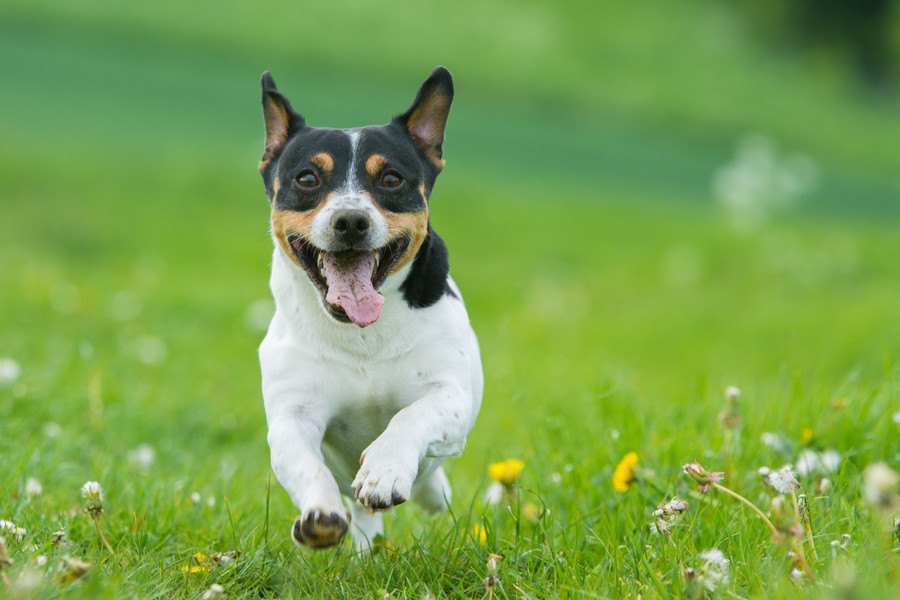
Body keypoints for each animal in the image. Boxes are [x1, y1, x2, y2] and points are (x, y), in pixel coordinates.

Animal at [256, 68, 482, 552]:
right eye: (307, 179)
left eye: (391, 179)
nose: (351, 221)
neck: (362, 334)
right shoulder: (292, 418)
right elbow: (307, 464)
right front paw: (320, 514)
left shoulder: (449, 394)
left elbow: (409, 417)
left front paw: (384, 471)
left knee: (429, 487)